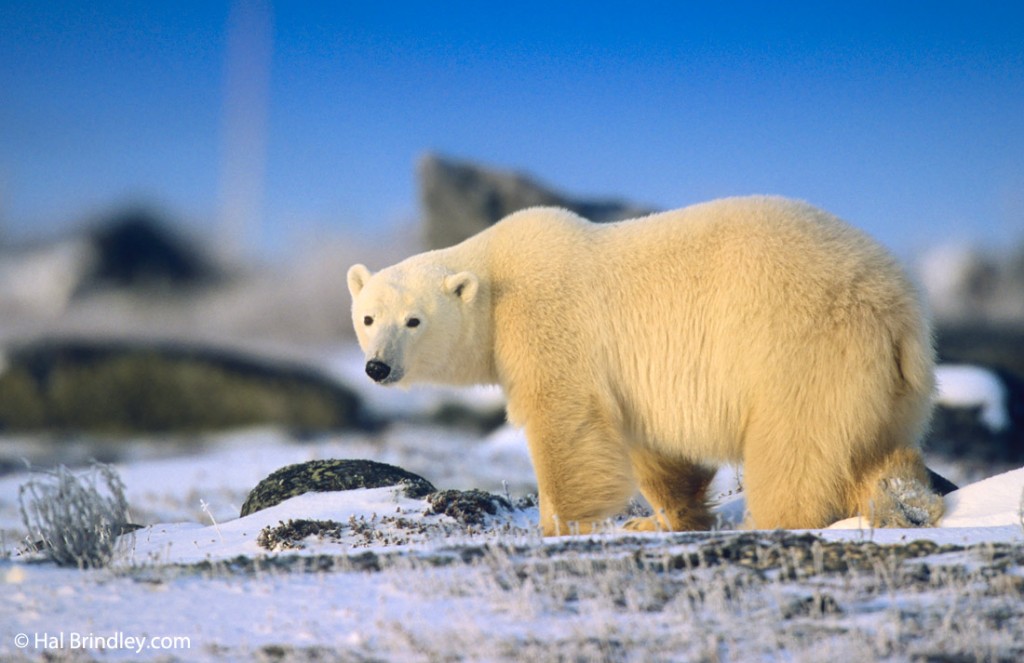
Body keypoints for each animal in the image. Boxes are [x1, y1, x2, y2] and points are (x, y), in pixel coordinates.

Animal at [350, 195, 942, 532]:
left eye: (413, 321)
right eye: (368, 317)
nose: (378, 367)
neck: (497, 274)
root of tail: (899, 310)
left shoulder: (548, 322)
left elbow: (563, 423)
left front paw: (557, 526)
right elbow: (655, 449)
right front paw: (666, 521)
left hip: (802, 347)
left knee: (795, 445)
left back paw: (776, 521)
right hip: (885, 383)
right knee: (870, 446)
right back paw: (904, 499)